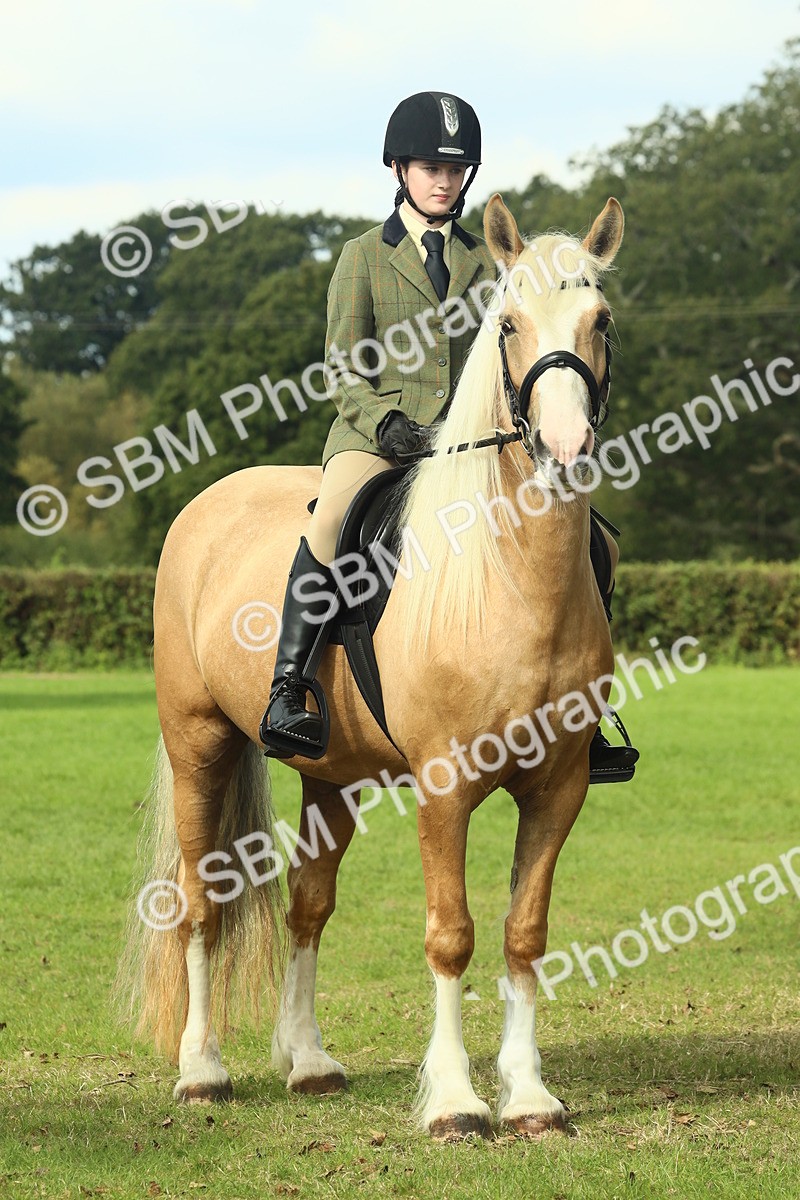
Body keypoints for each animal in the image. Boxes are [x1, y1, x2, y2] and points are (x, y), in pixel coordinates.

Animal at [118, 193, 625, 1140]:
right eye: (508, 323)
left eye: (600, 321)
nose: (565, 444)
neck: (509, 575)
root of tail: (208, 502)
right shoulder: (444, 786)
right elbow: (451, 933)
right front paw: (457, 1103)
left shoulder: (559, 785)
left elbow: (525, 934)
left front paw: (530, 1098)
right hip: (199, 745)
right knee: (202, 903)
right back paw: (202, 1070)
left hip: (333, 775)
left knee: (307, 903)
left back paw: (308, 1062)